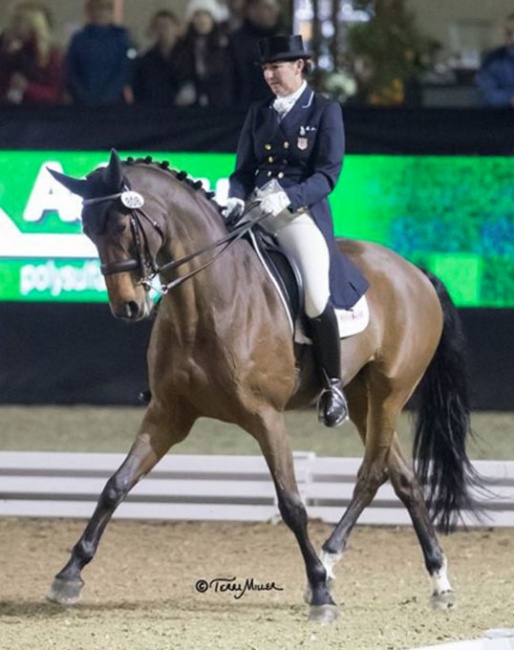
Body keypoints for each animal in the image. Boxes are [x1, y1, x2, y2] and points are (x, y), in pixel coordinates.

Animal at [46, 149, 478, 620]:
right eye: (87, 230)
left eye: (124, 225)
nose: (127, 306)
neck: (206, 303)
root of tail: (414, 272)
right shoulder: (168, 413)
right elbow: (116, 485)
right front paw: (68, 575)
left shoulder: (266, 417)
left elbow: (291, 505)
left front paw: (320, 593)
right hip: (362, 396)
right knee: (403, 476)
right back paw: (438, 580)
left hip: (390, 392)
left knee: (372, 472)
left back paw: (329, 565)